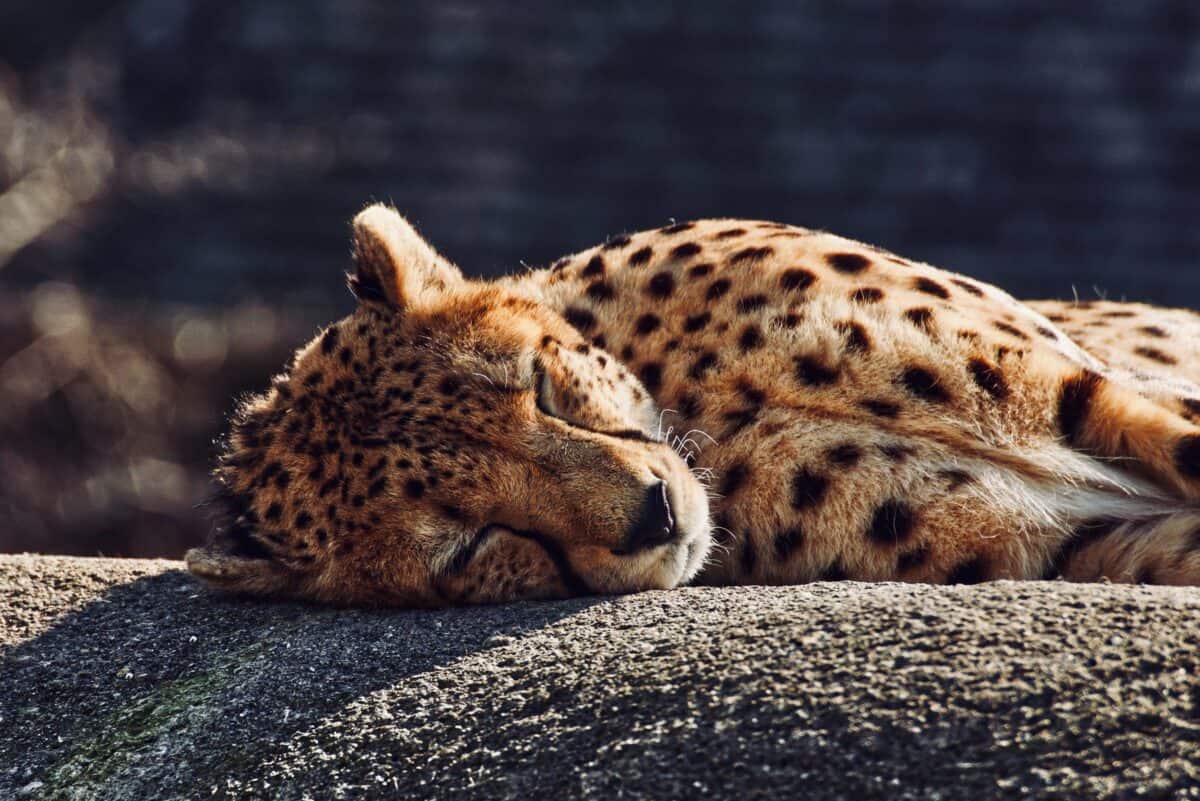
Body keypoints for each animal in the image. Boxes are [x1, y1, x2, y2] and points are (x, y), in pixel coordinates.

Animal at [182, 203, 1200, 604]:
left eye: (537, 387)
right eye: (470, 544)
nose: (655, 514)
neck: (697, 410)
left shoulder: (1081, 390)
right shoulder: (1069, 545)